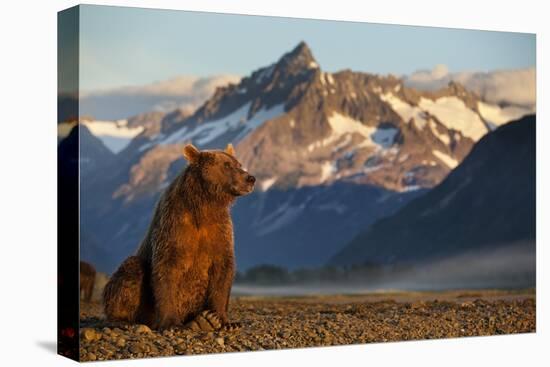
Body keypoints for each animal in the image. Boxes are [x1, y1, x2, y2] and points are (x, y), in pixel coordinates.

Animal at [103, 144, 256, 330]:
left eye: (239, 164)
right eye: (227, 165)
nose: (250, 178)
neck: (205, 204)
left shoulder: (219, 230)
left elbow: (223, 270)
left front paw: (223, 320)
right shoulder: (174, 226)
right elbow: (167, 269)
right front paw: (171, 324)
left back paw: (203, 321)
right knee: (130, 272)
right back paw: (122, 320)